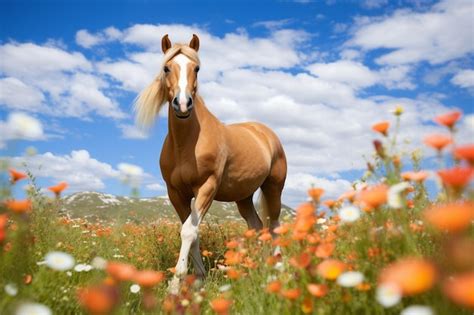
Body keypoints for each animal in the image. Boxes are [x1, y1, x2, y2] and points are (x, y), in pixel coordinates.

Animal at [135, 34, 286, 294]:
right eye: (166, 68)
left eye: (196, 68)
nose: (182, 104)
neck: (187, 144)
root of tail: (265, 133)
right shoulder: (176, 193)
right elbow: (192, 231)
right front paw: (198, 278)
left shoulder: (207, 187)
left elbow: (188, 230)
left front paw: (175, 284)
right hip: (243, 197)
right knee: (256, 226)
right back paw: (256, 267)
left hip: (273, 187)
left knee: (274, 225)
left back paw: (275, 268)